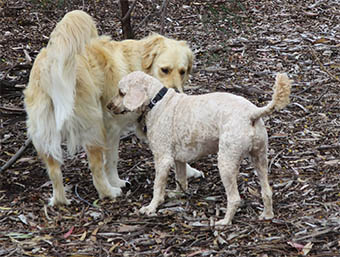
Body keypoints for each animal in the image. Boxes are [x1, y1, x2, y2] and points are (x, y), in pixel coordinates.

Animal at [109, 70, 292, 224]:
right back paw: (267, 215)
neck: (157, 101)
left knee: (234, 199)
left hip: (226, 162)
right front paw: (178, 194)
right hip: (260, 158)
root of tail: (252, 113)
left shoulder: (163, 159)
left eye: (121, 92)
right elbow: (181, 179)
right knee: (267, 191)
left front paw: (151, 207)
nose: (109, 106)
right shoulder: (178, 159)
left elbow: (157, 187)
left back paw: (224, 222)